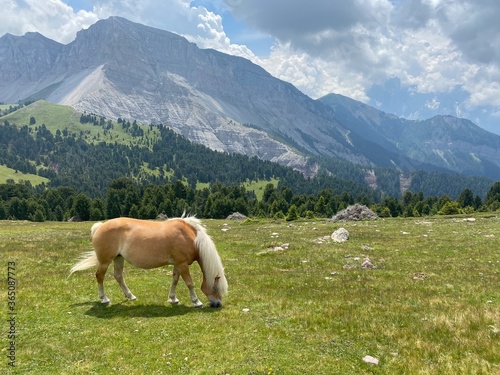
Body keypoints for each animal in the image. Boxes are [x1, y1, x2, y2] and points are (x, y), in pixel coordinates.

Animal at [69, 214, 229, 308]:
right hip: (105, 261)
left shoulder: (178, 264)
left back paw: (130, 296)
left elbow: (175, 280)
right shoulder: (183, 264)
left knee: (118, 276)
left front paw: (173, 299)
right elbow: (189, 283)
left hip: (118, 258)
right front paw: (196, 302)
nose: (218, 304)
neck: (191, 237)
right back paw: (104, 299)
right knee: (99, 276)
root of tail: (100, 226)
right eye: (216, 288)